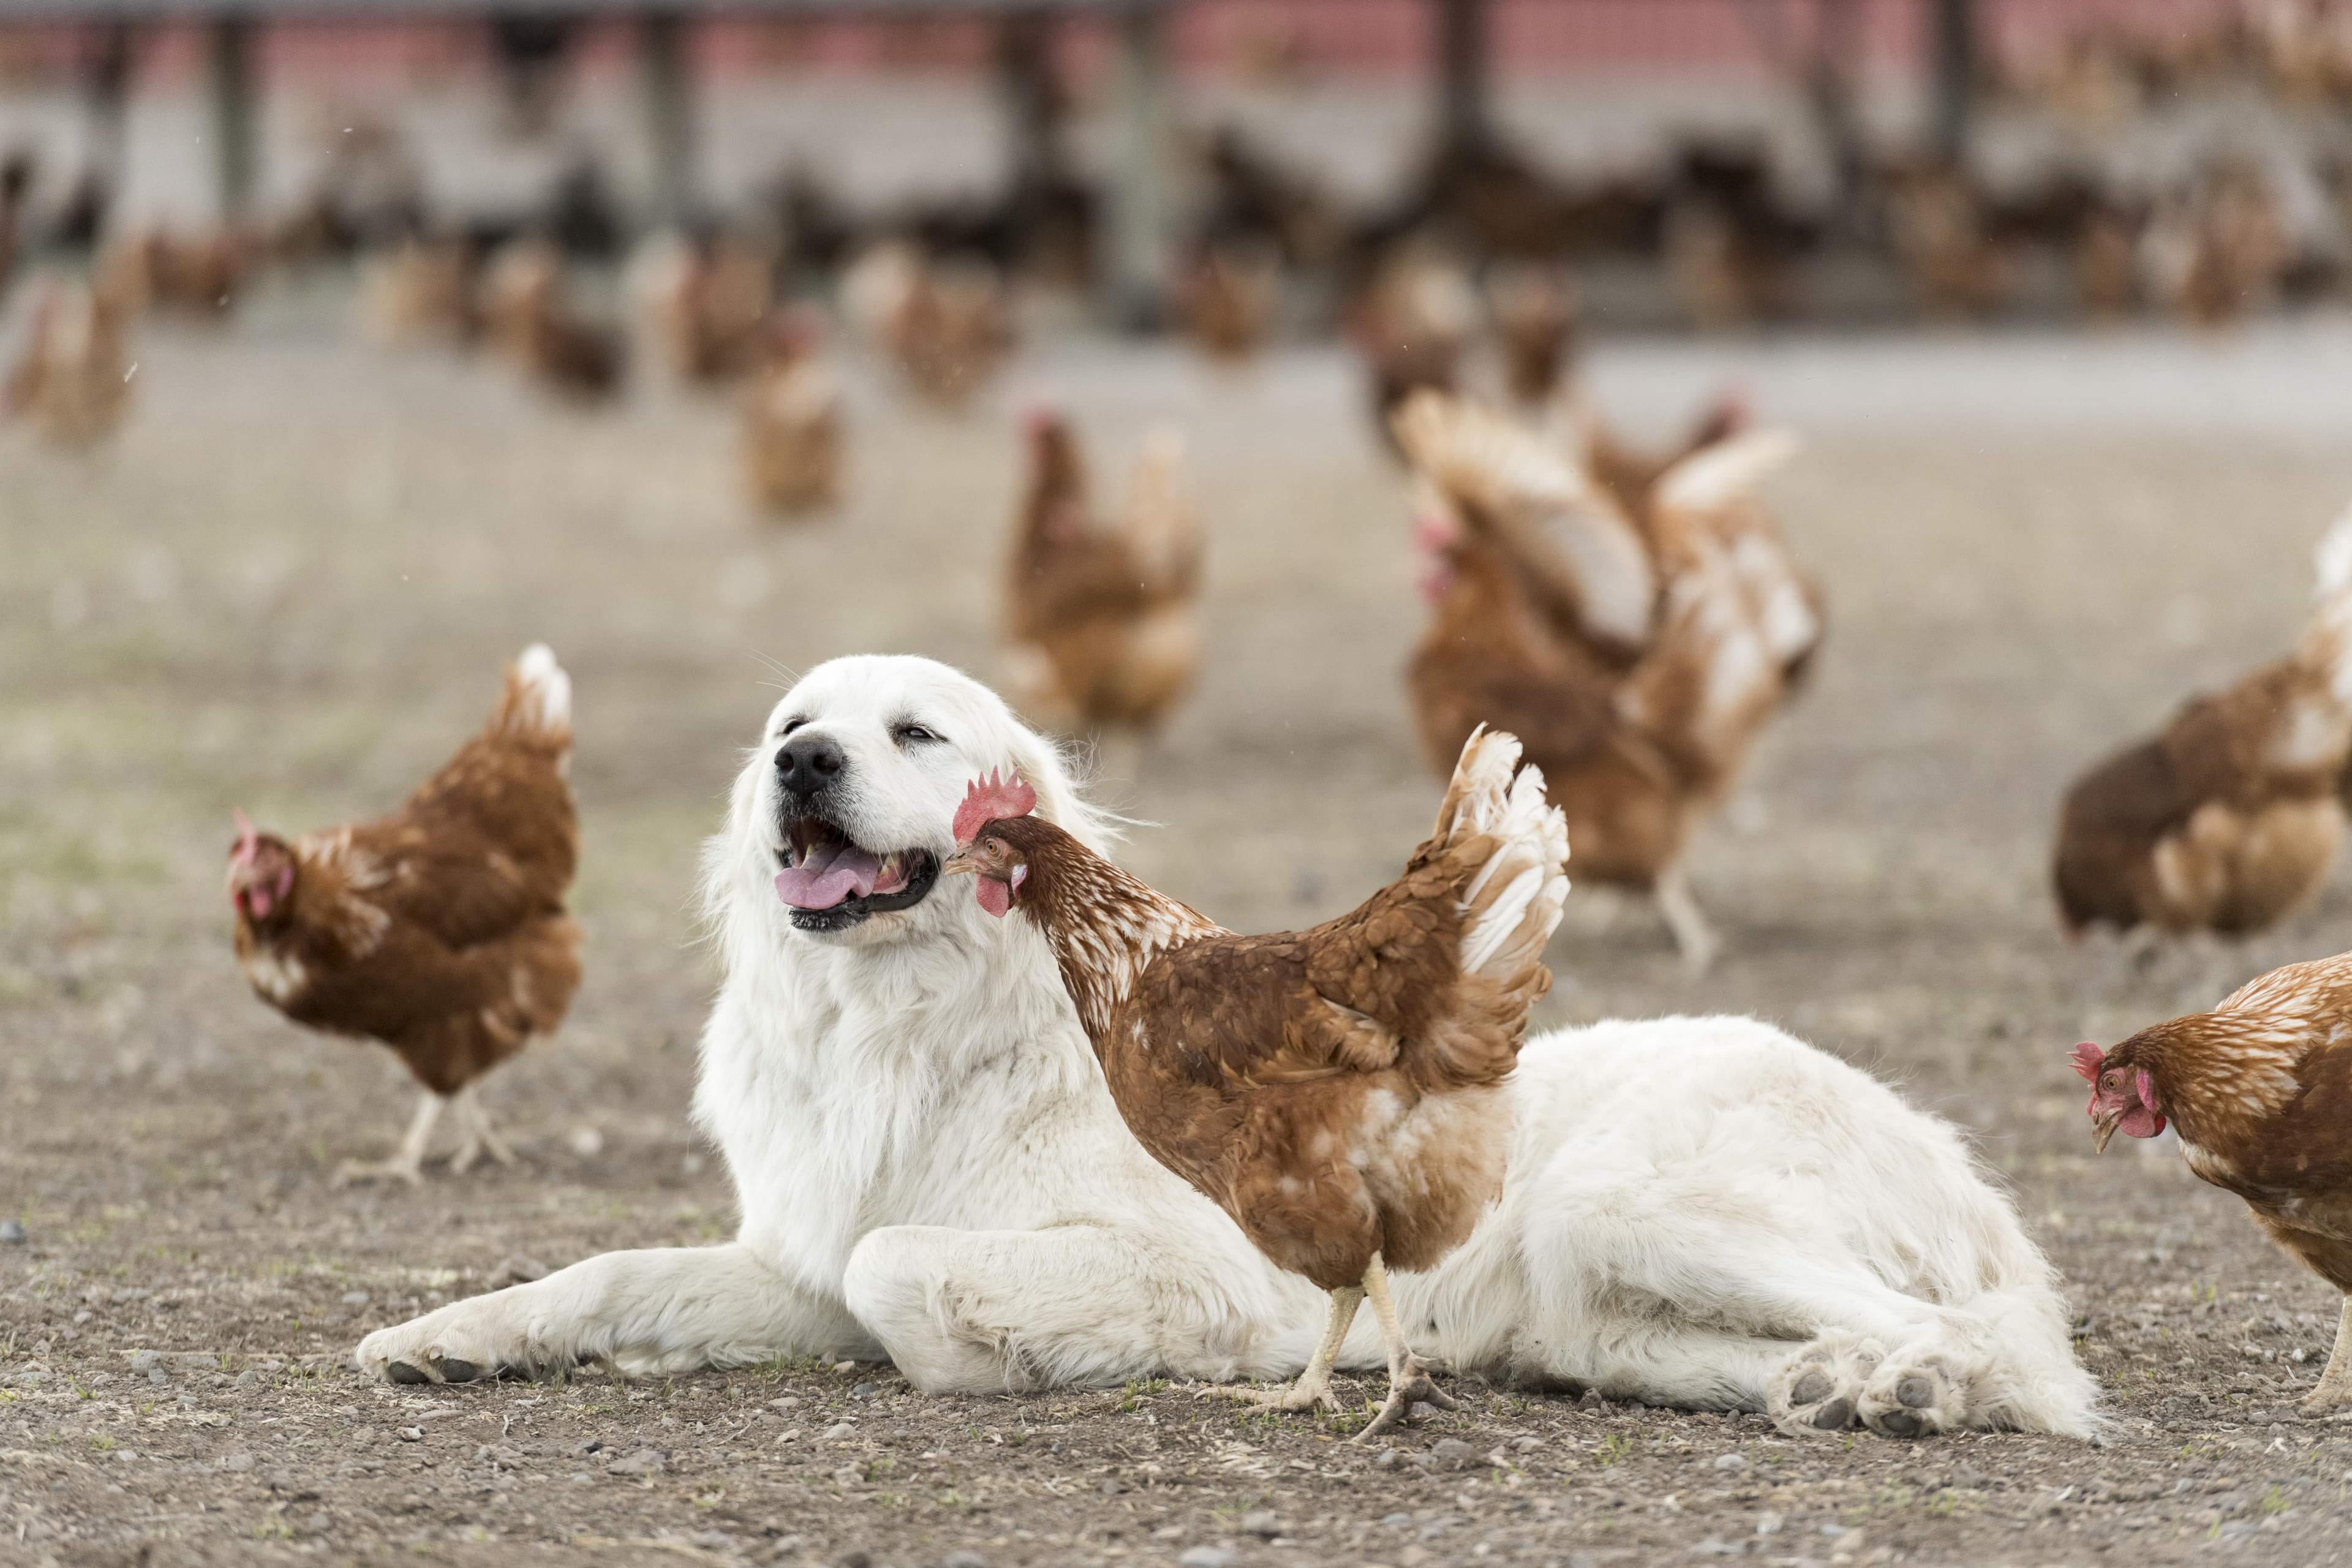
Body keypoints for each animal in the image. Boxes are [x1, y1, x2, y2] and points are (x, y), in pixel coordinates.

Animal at [362, 658, 2098, 1438]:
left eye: (913, 732)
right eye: (797, 722)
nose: (804, 764)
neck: (901, 1026)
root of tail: (1954, 1159)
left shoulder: (1190, 1258)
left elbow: (899, 1268)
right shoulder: (788, 1253)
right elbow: (614, 1274)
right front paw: (454, 1332)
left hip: (1635, 1205)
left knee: (2001, 1344)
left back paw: (1908, 1378)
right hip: (1609, 1317)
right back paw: (1846, 1382)